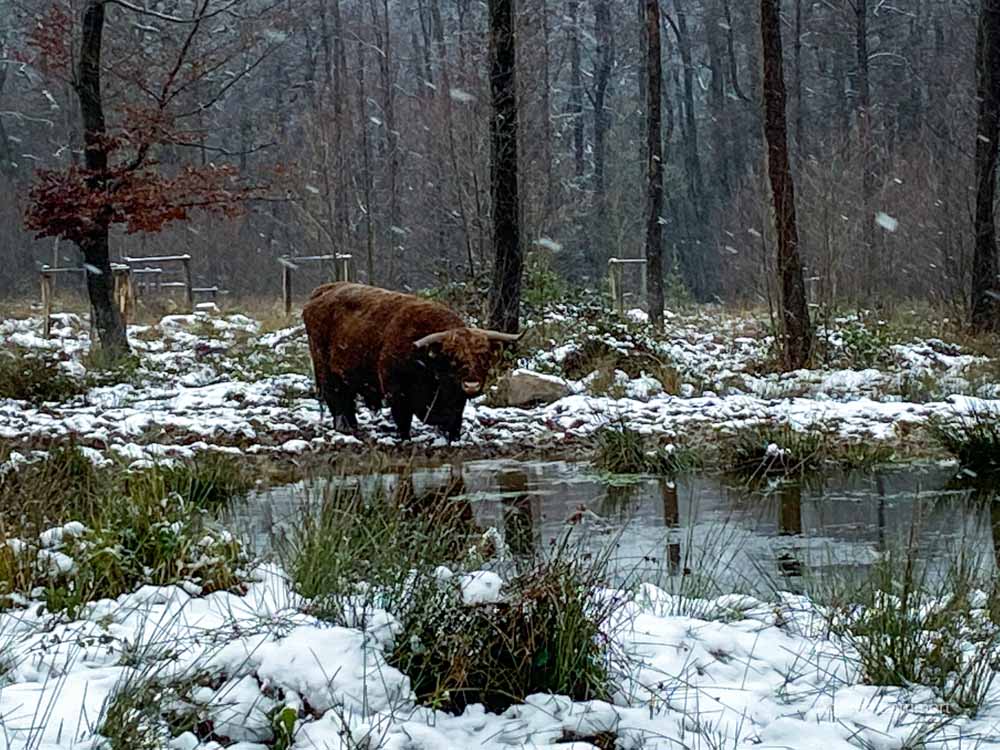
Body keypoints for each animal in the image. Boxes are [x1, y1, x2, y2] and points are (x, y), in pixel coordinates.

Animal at [302, 284, 524, 444]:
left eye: (484, 357)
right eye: (452, 358)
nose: (471, 384)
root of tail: (322, 291)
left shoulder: (456, 402)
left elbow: (455, 422)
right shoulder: (397, 394)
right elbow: (403, 421)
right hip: (327, 373)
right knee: (337, 400)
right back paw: (345, 427)